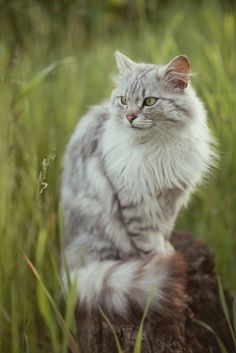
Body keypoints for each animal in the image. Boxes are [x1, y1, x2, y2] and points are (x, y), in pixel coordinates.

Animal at [60, 51, 216, 320]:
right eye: (124, 100)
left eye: (149, 101)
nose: (130, 117)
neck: (157, 149)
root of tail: (68, 263)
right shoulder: (135, 201)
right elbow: (148, 242)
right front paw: (162, 263)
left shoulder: (170, 200)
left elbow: (163, 233)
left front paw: (168, 251)